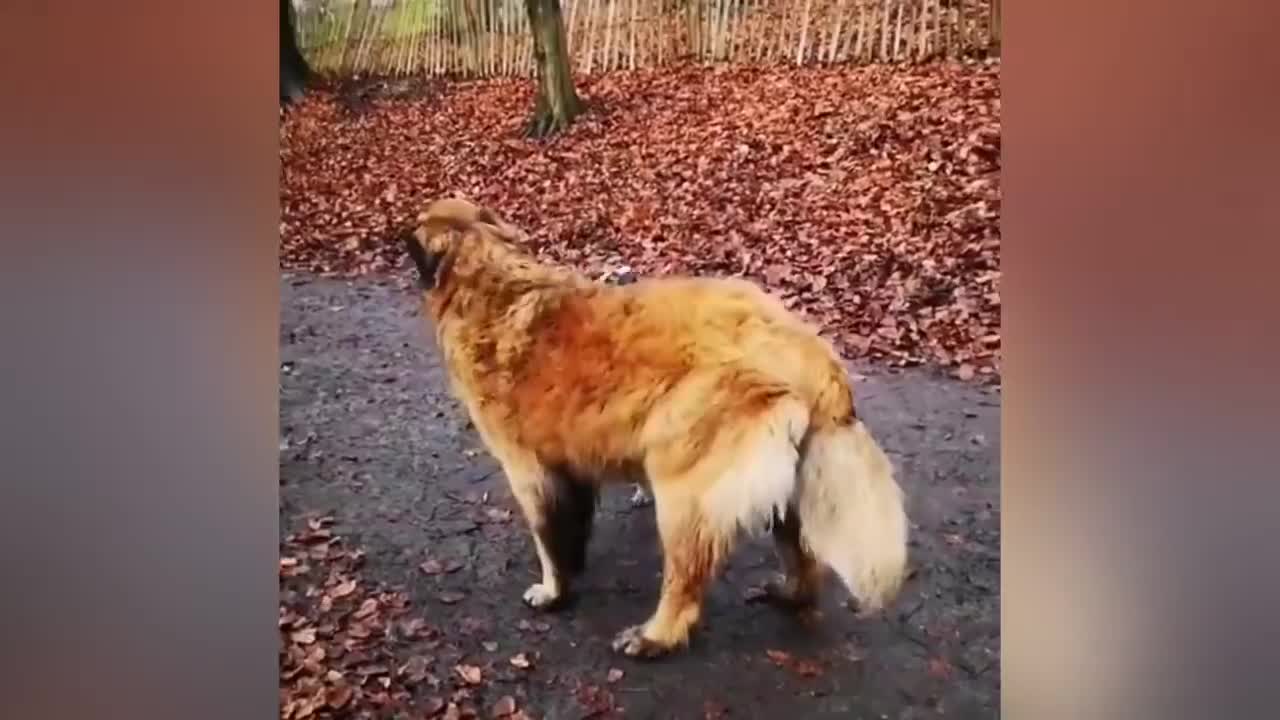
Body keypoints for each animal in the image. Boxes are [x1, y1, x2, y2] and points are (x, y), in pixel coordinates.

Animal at [399, 196, 911, 655]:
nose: (396, 235)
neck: (491, 282)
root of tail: (807, 353)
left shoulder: (530, 471)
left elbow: (551, 542)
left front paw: (554, 592)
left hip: (683, 488)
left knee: (686, 582)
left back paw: (654, 636)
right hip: (783, 483)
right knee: (805, 560)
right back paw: (788, 593)